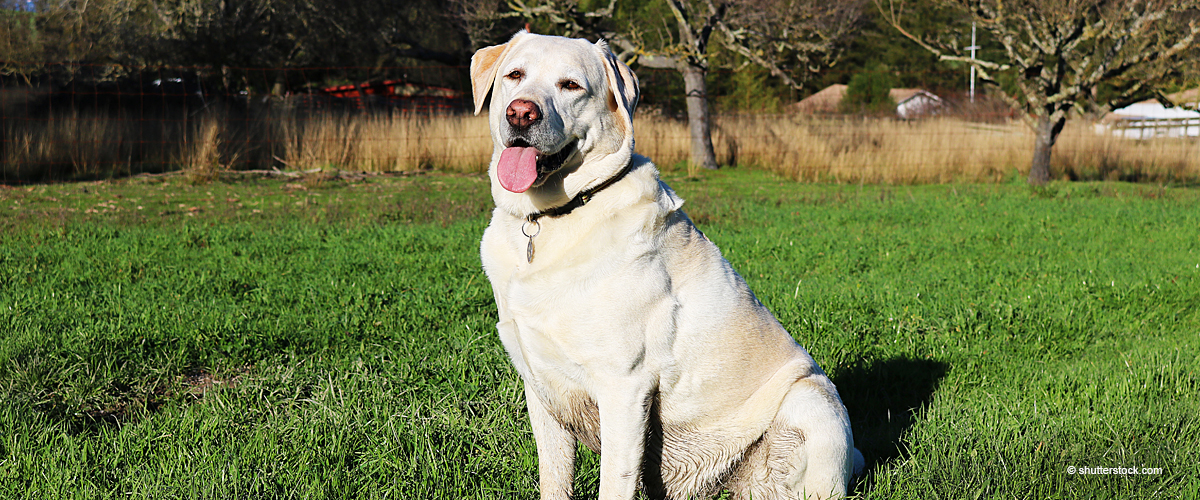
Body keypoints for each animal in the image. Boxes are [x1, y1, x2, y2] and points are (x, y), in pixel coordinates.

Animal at [470, 32, 864, 498]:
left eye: (570, 85)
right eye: (515, 75)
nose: (520, 112)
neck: (549, 219)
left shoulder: (624, 387)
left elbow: (613, 483)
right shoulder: (541, 387)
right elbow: (554, 479)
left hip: (812, 400)